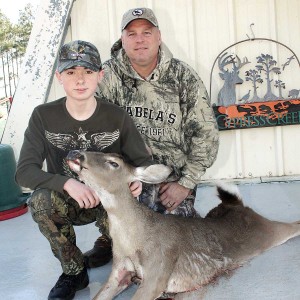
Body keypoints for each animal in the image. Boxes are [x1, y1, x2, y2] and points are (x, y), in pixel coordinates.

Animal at [67, 151, 300, 298]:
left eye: (113, 163)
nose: (74, 154)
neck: (133, 240)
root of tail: (237, 205)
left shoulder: (158, 270)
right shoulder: (119, 272)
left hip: (266, 232)